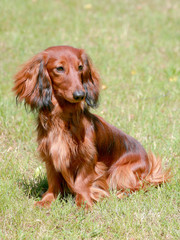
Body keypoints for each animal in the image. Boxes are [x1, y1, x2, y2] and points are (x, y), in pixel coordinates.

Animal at [13, 46, 171, 207]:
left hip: (120, 172)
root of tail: (149, 167)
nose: (80, 94)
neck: (63, 119)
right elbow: (53, 182)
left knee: (138, 186)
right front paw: (47, 200)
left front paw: (84, 203)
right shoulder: (51, 157)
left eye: (80, 67)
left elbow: (82, 182)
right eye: (59, 68)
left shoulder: (88, 158)